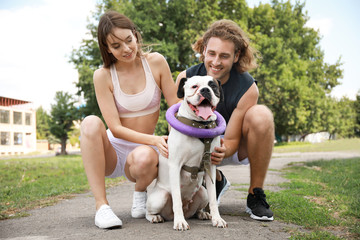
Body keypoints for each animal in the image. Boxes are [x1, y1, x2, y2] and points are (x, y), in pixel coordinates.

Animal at [145, 75, 226, 231]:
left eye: (213, 86)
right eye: (194, 86)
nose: (205, 90)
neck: (201, 125)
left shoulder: (210, 167)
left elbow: (213, 199)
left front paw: (217, 219)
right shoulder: (175, 166)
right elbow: (176, 198)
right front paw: (180, 222)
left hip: (202, 192)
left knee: (199, 206)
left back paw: (202, 214)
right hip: (160, 197)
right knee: (149, 211)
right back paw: (155, 217)